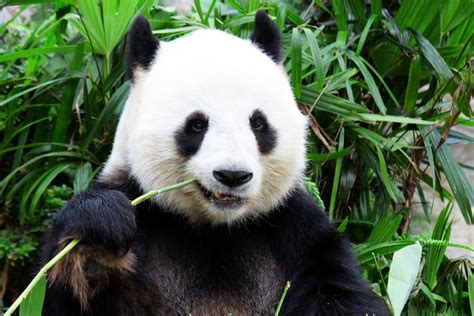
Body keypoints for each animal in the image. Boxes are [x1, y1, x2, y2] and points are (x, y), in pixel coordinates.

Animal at [41, 10, 388, 316]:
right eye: (196, 125)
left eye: (258, 123)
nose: (233, 175)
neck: (216, 230)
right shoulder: (143, 212)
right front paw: (98, 239)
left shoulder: (295, 230)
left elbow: (340, 294)